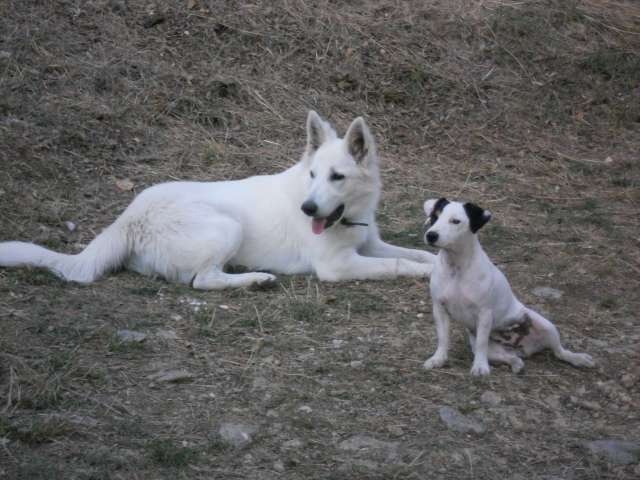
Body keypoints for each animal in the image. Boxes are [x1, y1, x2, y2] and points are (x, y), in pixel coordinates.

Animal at [0, 112, 436, 288]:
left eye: (337, 177)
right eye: (313, 176)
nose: (308, 209)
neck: (347, 215)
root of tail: (129, 218)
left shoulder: (371, 243)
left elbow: (418, 253)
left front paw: (438, 261)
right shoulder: (337, 266)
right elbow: (398, 265)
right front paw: (427, 274)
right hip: (228, 226)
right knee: (203, 281)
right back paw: (256, 280)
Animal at [420, 198, 596, 376]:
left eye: (455, 221)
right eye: (434, 217)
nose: (431, 235)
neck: (456, 267)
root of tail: (524, 347)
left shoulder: (484, 313)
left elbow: (482, 342)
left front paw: (480, 367)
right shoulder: (439, 309)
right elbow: (443, 338)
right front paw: (438, 358)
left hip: (547, 326)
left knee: (560, 352)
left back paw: (577, 358)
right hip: (488, 348)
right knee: (508, 357)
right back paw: (516, 364)